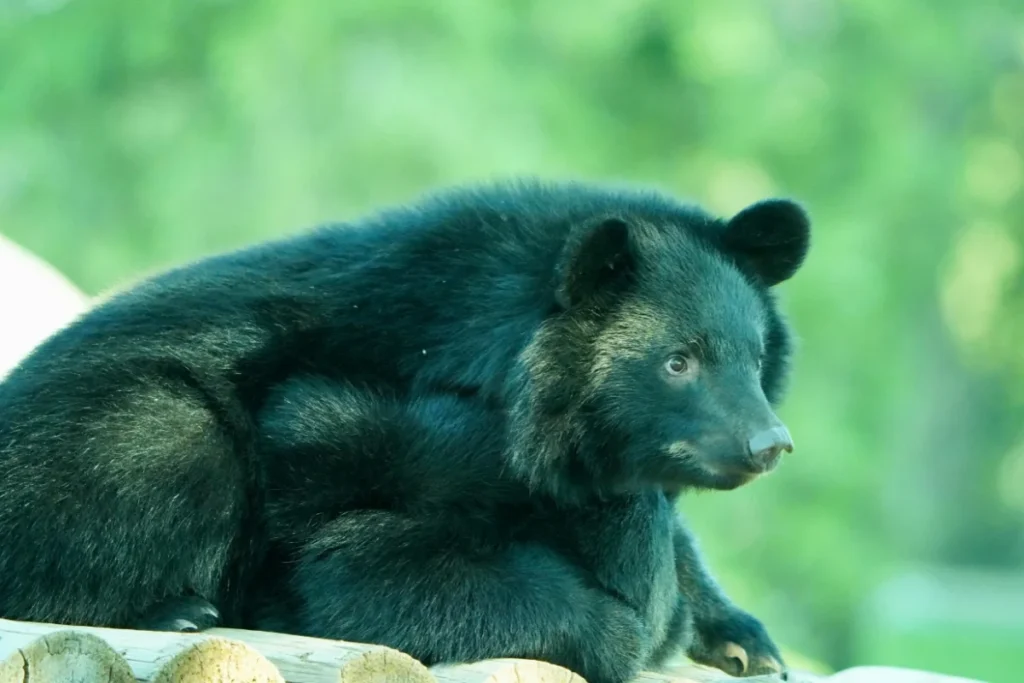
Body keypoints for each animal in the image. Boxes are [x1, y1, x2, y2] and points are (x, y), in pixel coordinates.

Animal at [0, 178, 809, 681]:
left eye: (755, 357)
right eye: (678, 361)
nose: (769, 444)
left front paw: (744, 640)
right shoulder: (375, 434)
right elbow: (356, 560)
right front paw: (620, 624)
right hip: (137, 433)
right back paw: (178, 613)